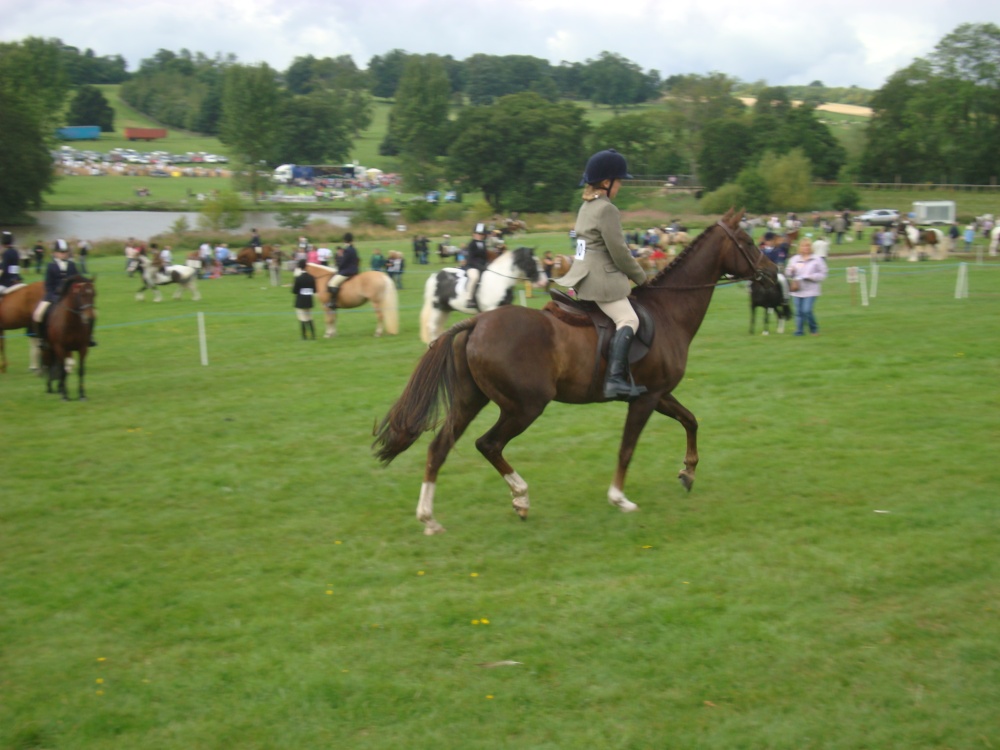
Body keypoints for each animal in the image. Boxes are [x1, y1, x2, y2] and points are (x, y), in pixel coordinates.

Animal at [374, 210, 772, 536]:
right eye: (749, 242)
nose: (771, 274)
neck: (668, 312)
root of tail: (477, 322)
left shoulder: (656, 394)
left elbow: (690, 420)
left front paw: (688, 473)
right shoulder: (645, 400)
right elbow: (627, 447)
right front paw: (619, 498)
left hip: (471, 400)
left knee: (440, 447)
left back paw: (430, 518)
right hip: (525, 406)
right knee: (488, 444)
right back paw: (520, 497)